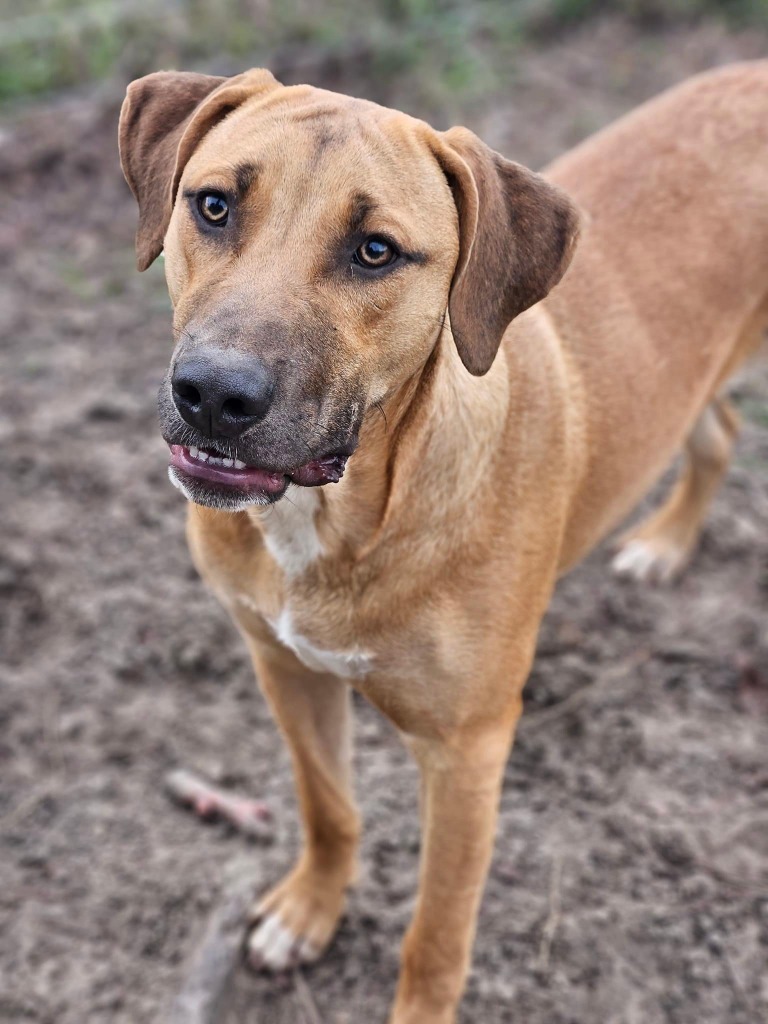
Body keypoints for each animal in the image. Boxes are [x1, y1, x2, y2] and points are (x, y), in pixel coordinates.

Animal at [118, 66, 768, 1024]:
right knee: (717, 428)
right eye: (213, 205)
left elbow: (436, 933)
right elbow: (327, 806)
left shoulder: (469, 753)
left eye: (375, 251)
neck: (341, 517)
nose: (214, 395)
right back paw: (666, 541)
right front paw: (311, 910)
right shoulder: (283, 666)